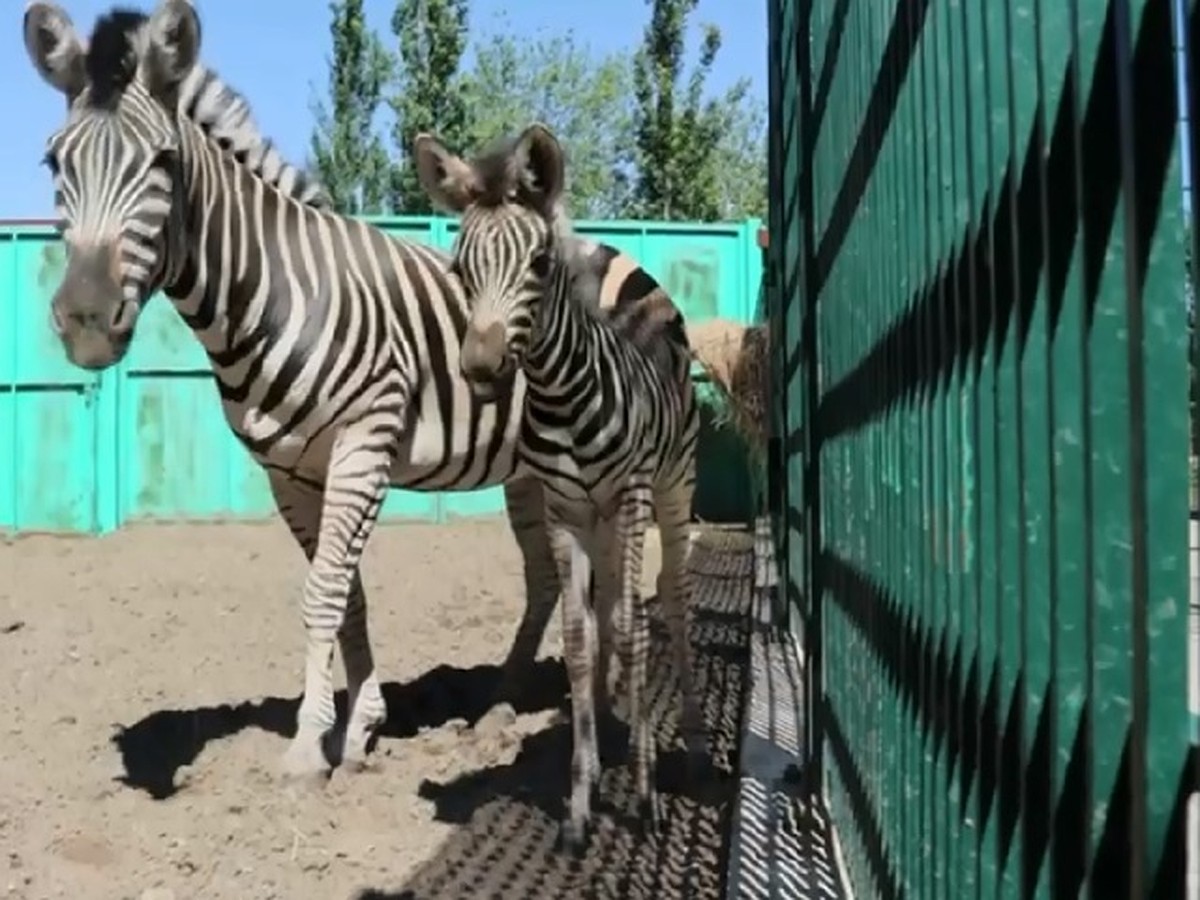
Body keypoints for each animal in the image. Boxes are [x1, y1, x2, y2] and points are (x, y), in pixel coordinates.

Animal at [23, 1, 686, 782]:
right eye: (54, 161)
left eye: (162, 161)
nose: (87, 321)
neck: (268, 295)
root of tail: (614, 250)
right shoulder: (290, 472)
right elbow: (348, 594)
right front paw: (362, 723)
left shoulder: (364, 444)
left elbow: (324, 593)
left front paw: (311, 744)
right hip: (533, 470)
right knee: (551, 580)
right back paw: (502, 706)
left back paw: (602, 705)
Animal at [412, 123, 710, 849]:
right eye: (460, 270)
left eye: (539, 266)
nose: (482, 369)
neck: (567, 395)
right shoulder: (564, 510)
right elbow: (579, 640)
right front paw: (579, 799)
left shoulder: (629, 497)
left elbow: (632, 628)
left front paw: (646, 798)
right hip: (601, 520)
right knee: (604, 612)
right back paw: (602, 734)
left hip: (672, 490)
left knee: (672, 602)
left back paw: (689, 747)